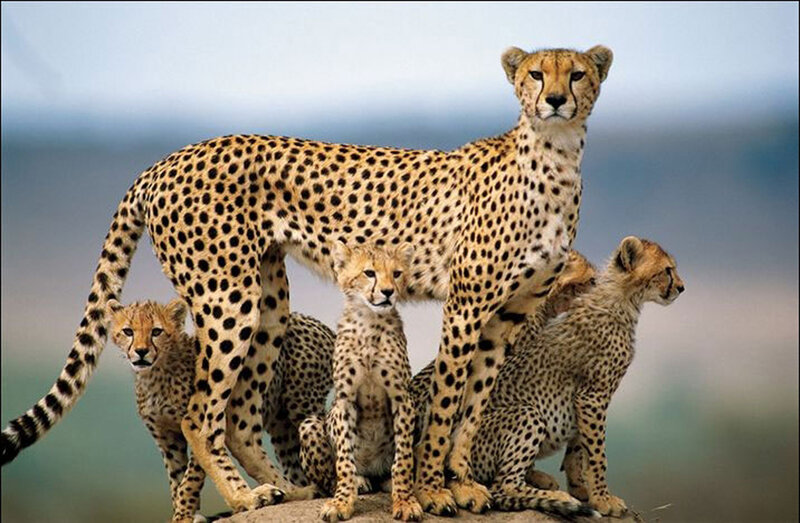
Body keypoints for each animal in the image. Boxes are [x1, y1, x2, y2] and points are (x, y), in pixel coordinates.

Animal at [107, 298, 335, 522]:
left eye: (156, 331)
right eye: (128, 331)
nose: (141, 351)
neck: (155, 372)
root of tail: (314, 321)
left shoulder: (199, 423)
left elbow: (190, 479)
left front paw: (184, 513)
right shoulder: (166, 439)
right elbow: (176, 478)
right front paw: (184, 512)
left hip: (301, 404)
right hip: (281, 426)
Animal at [299, 243, 422, 522]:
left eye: (397, 273)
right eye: (369, 273)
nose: (388, 292)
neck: (369, 321)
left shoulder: (402, 398)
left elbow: (403, 458)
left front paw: (405, 500)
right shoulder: (344, 401)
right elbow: (344, 460)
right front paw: (342, 502)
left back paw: (385, 481)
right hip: (310, 424)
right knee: (328, 479)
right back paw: (358, 481)